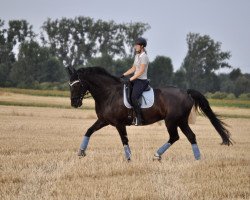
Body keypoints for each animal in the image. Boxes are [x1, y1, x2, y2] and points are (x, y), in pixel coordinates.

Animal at [67, 65, 232, 161]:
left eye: (78, 85)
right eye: (70, 85)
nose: (74, 103)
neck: (109, 93)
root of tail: (186, 92)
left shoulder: (119, 124)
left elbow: (124, 140)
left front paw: (129, 158)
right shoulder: (104, 120)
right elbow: (89, 131)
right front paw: (81, 152)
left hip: (171, 121)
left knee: (175, 136)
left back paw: (157, 155)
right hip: (181, 121)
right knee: (191, 136)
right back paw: (197, 158)